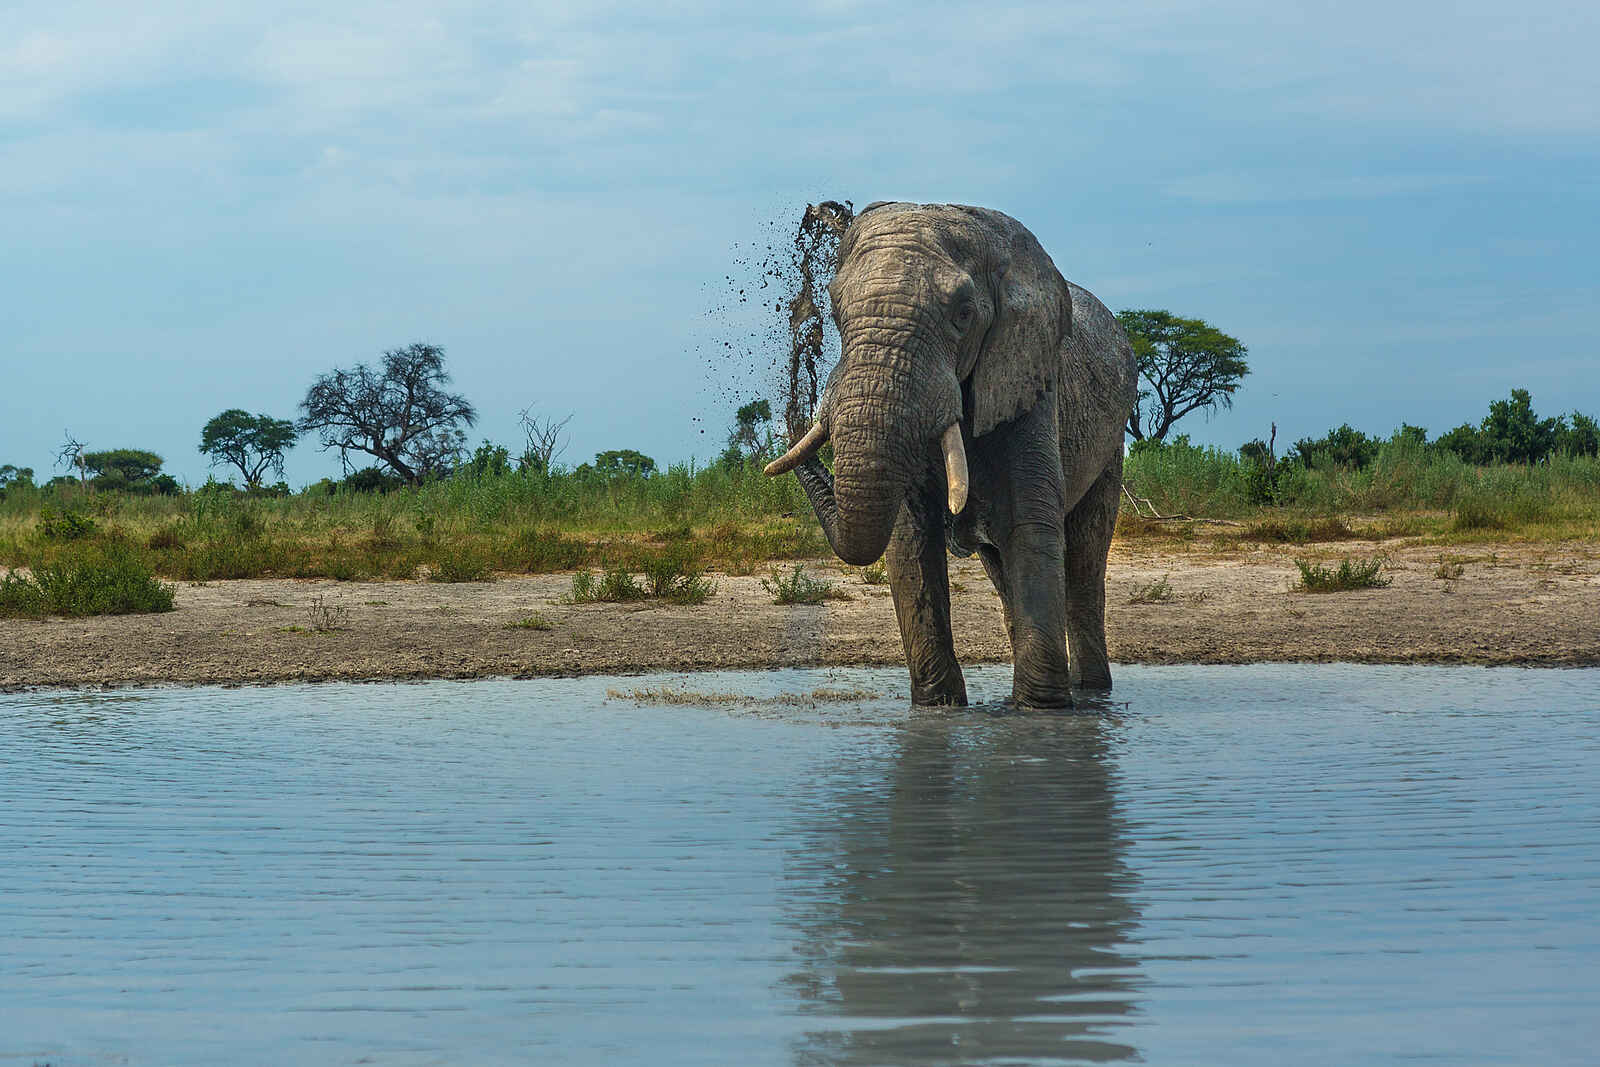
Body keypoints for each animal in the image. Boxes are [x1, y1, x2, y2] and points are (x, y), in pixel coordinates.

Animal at [765, 202, 1137, 709]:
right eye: (835, 312)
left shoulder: (1029, 381)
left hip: (1112, 439)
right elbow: (910, 538)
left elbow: (1027, 523)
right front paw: (938, 707)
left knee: (1084, 558)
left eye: (963, 313)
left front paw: (1040, 710)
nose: (801, 346)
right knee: (1003, 569)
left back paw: (1092, 692)